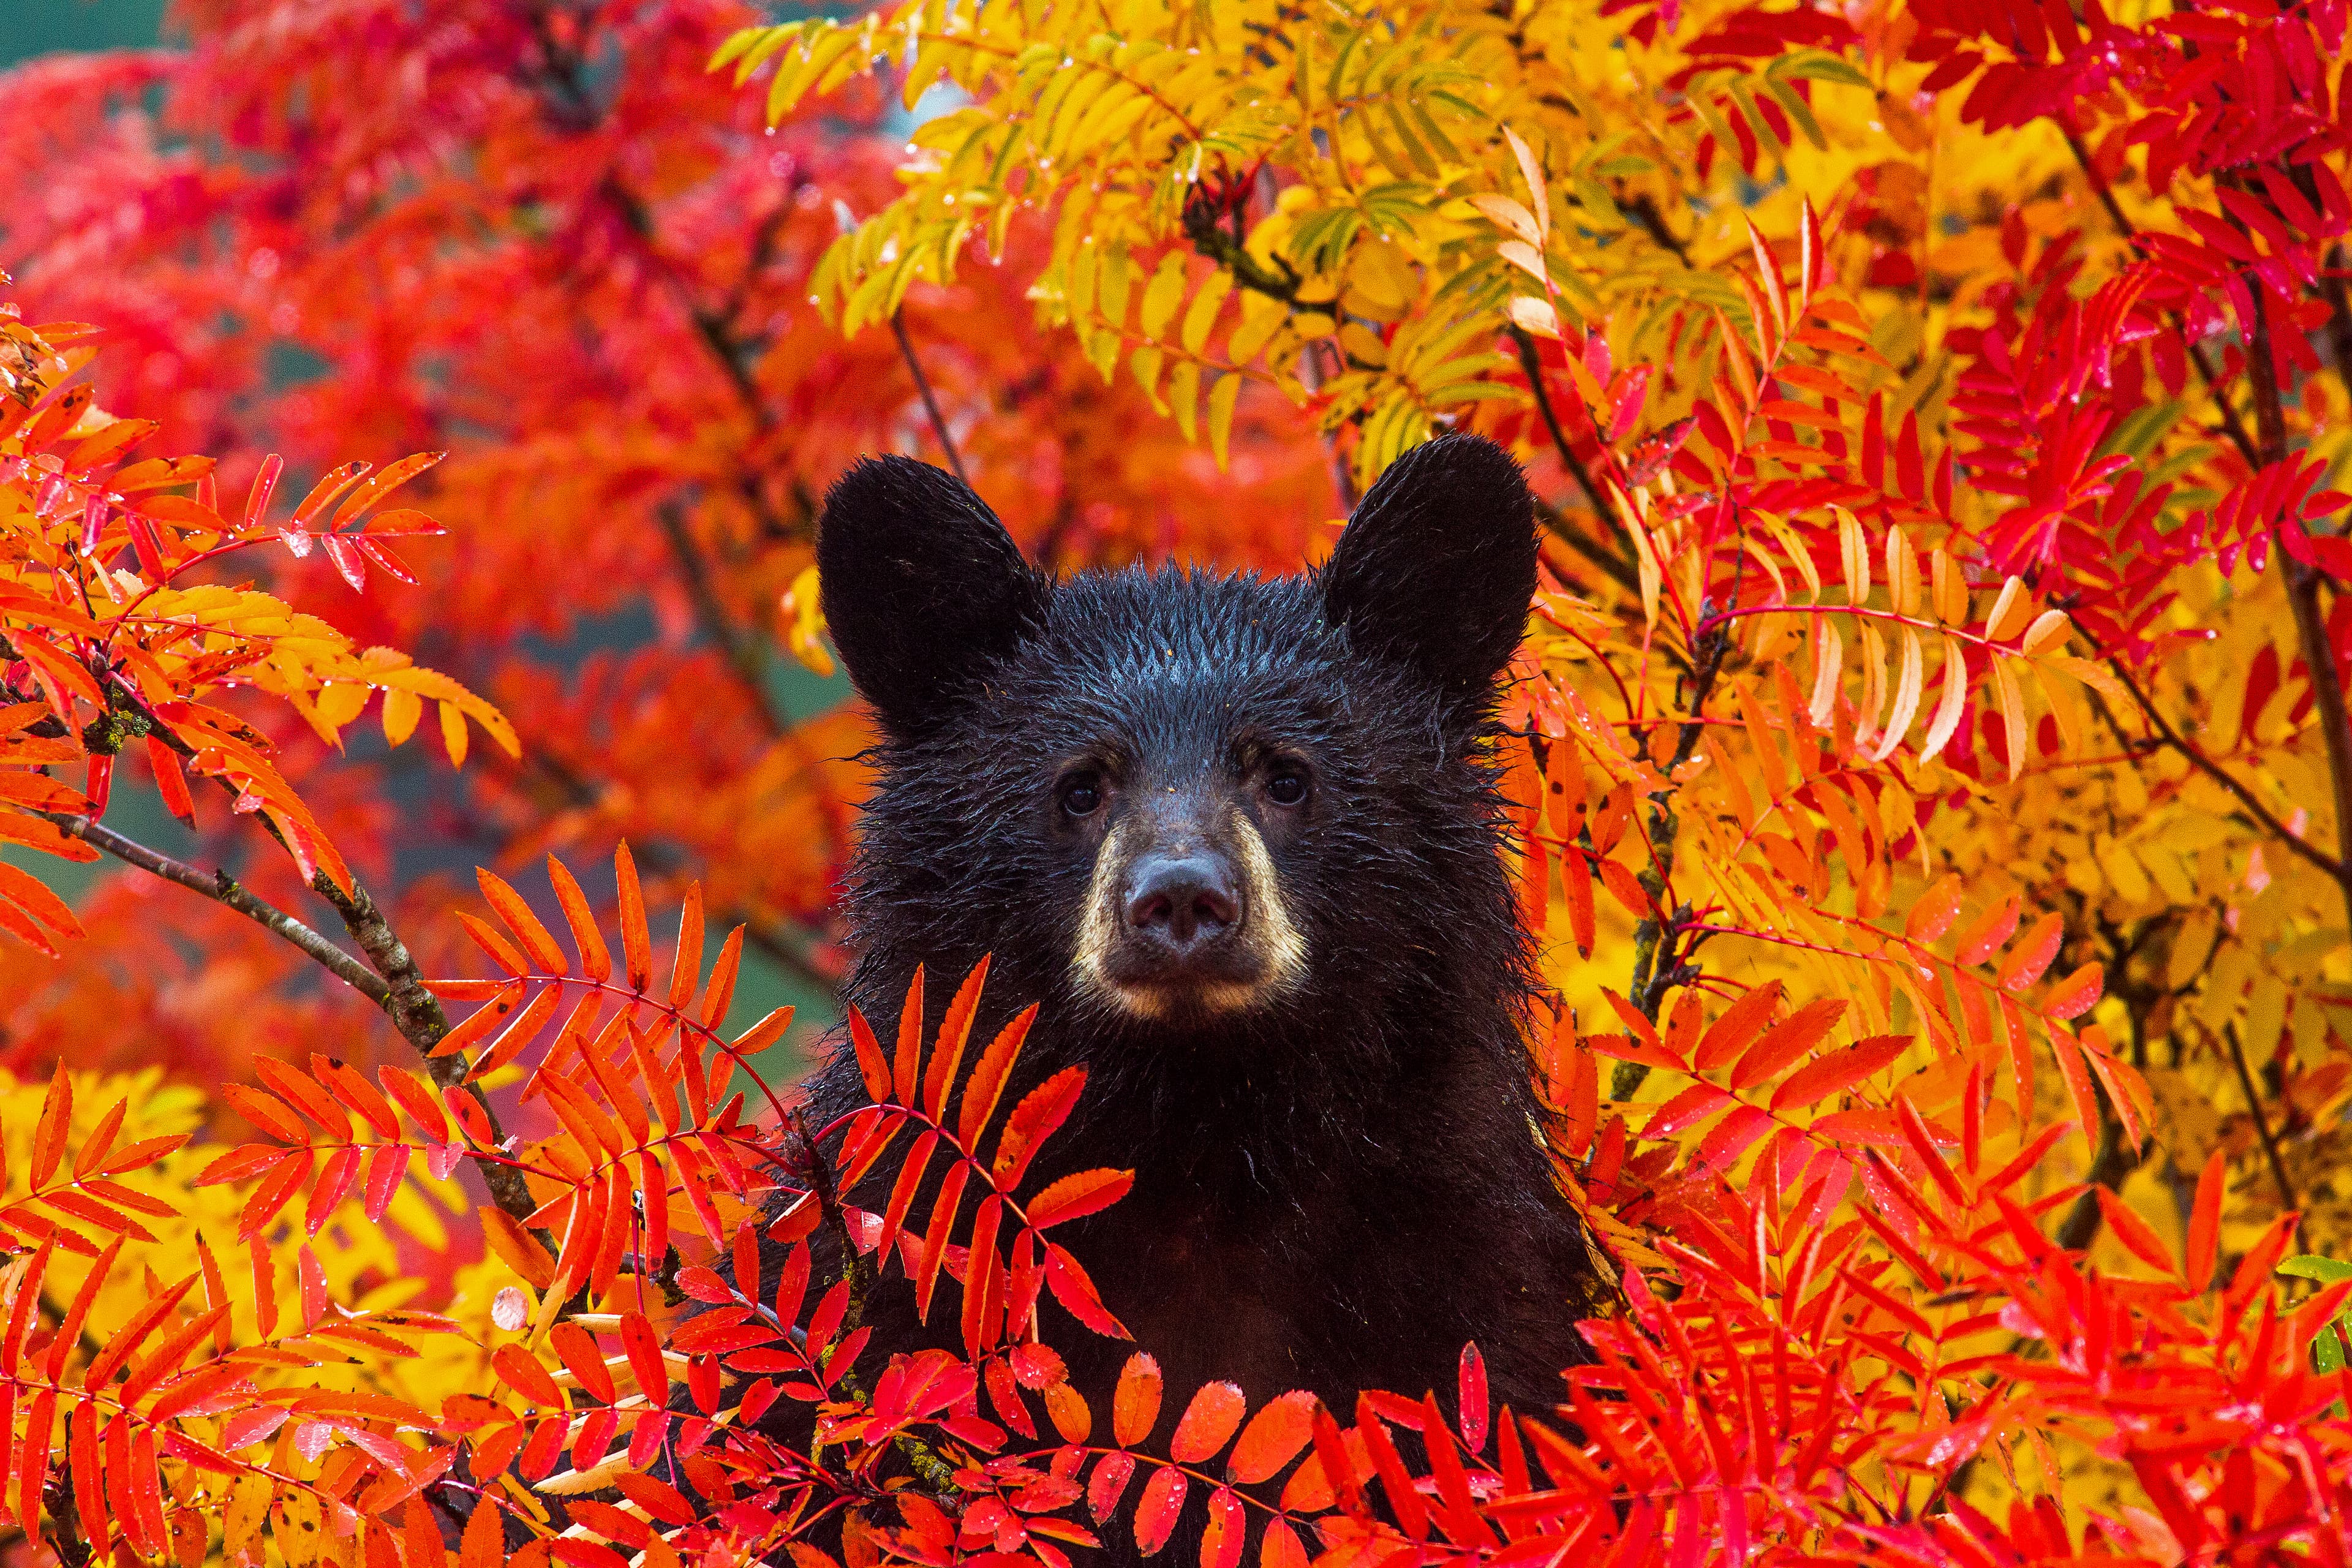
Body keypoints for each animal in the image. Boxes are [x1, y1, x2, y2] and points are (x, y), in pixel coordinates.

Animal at [790, 432, 1605, 1526]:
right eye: (1080, 787)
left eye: (1287, 778)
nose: (1181, 899)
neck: (1200, 1136)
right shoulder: (877, 1266)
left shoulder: (1470, 1270)